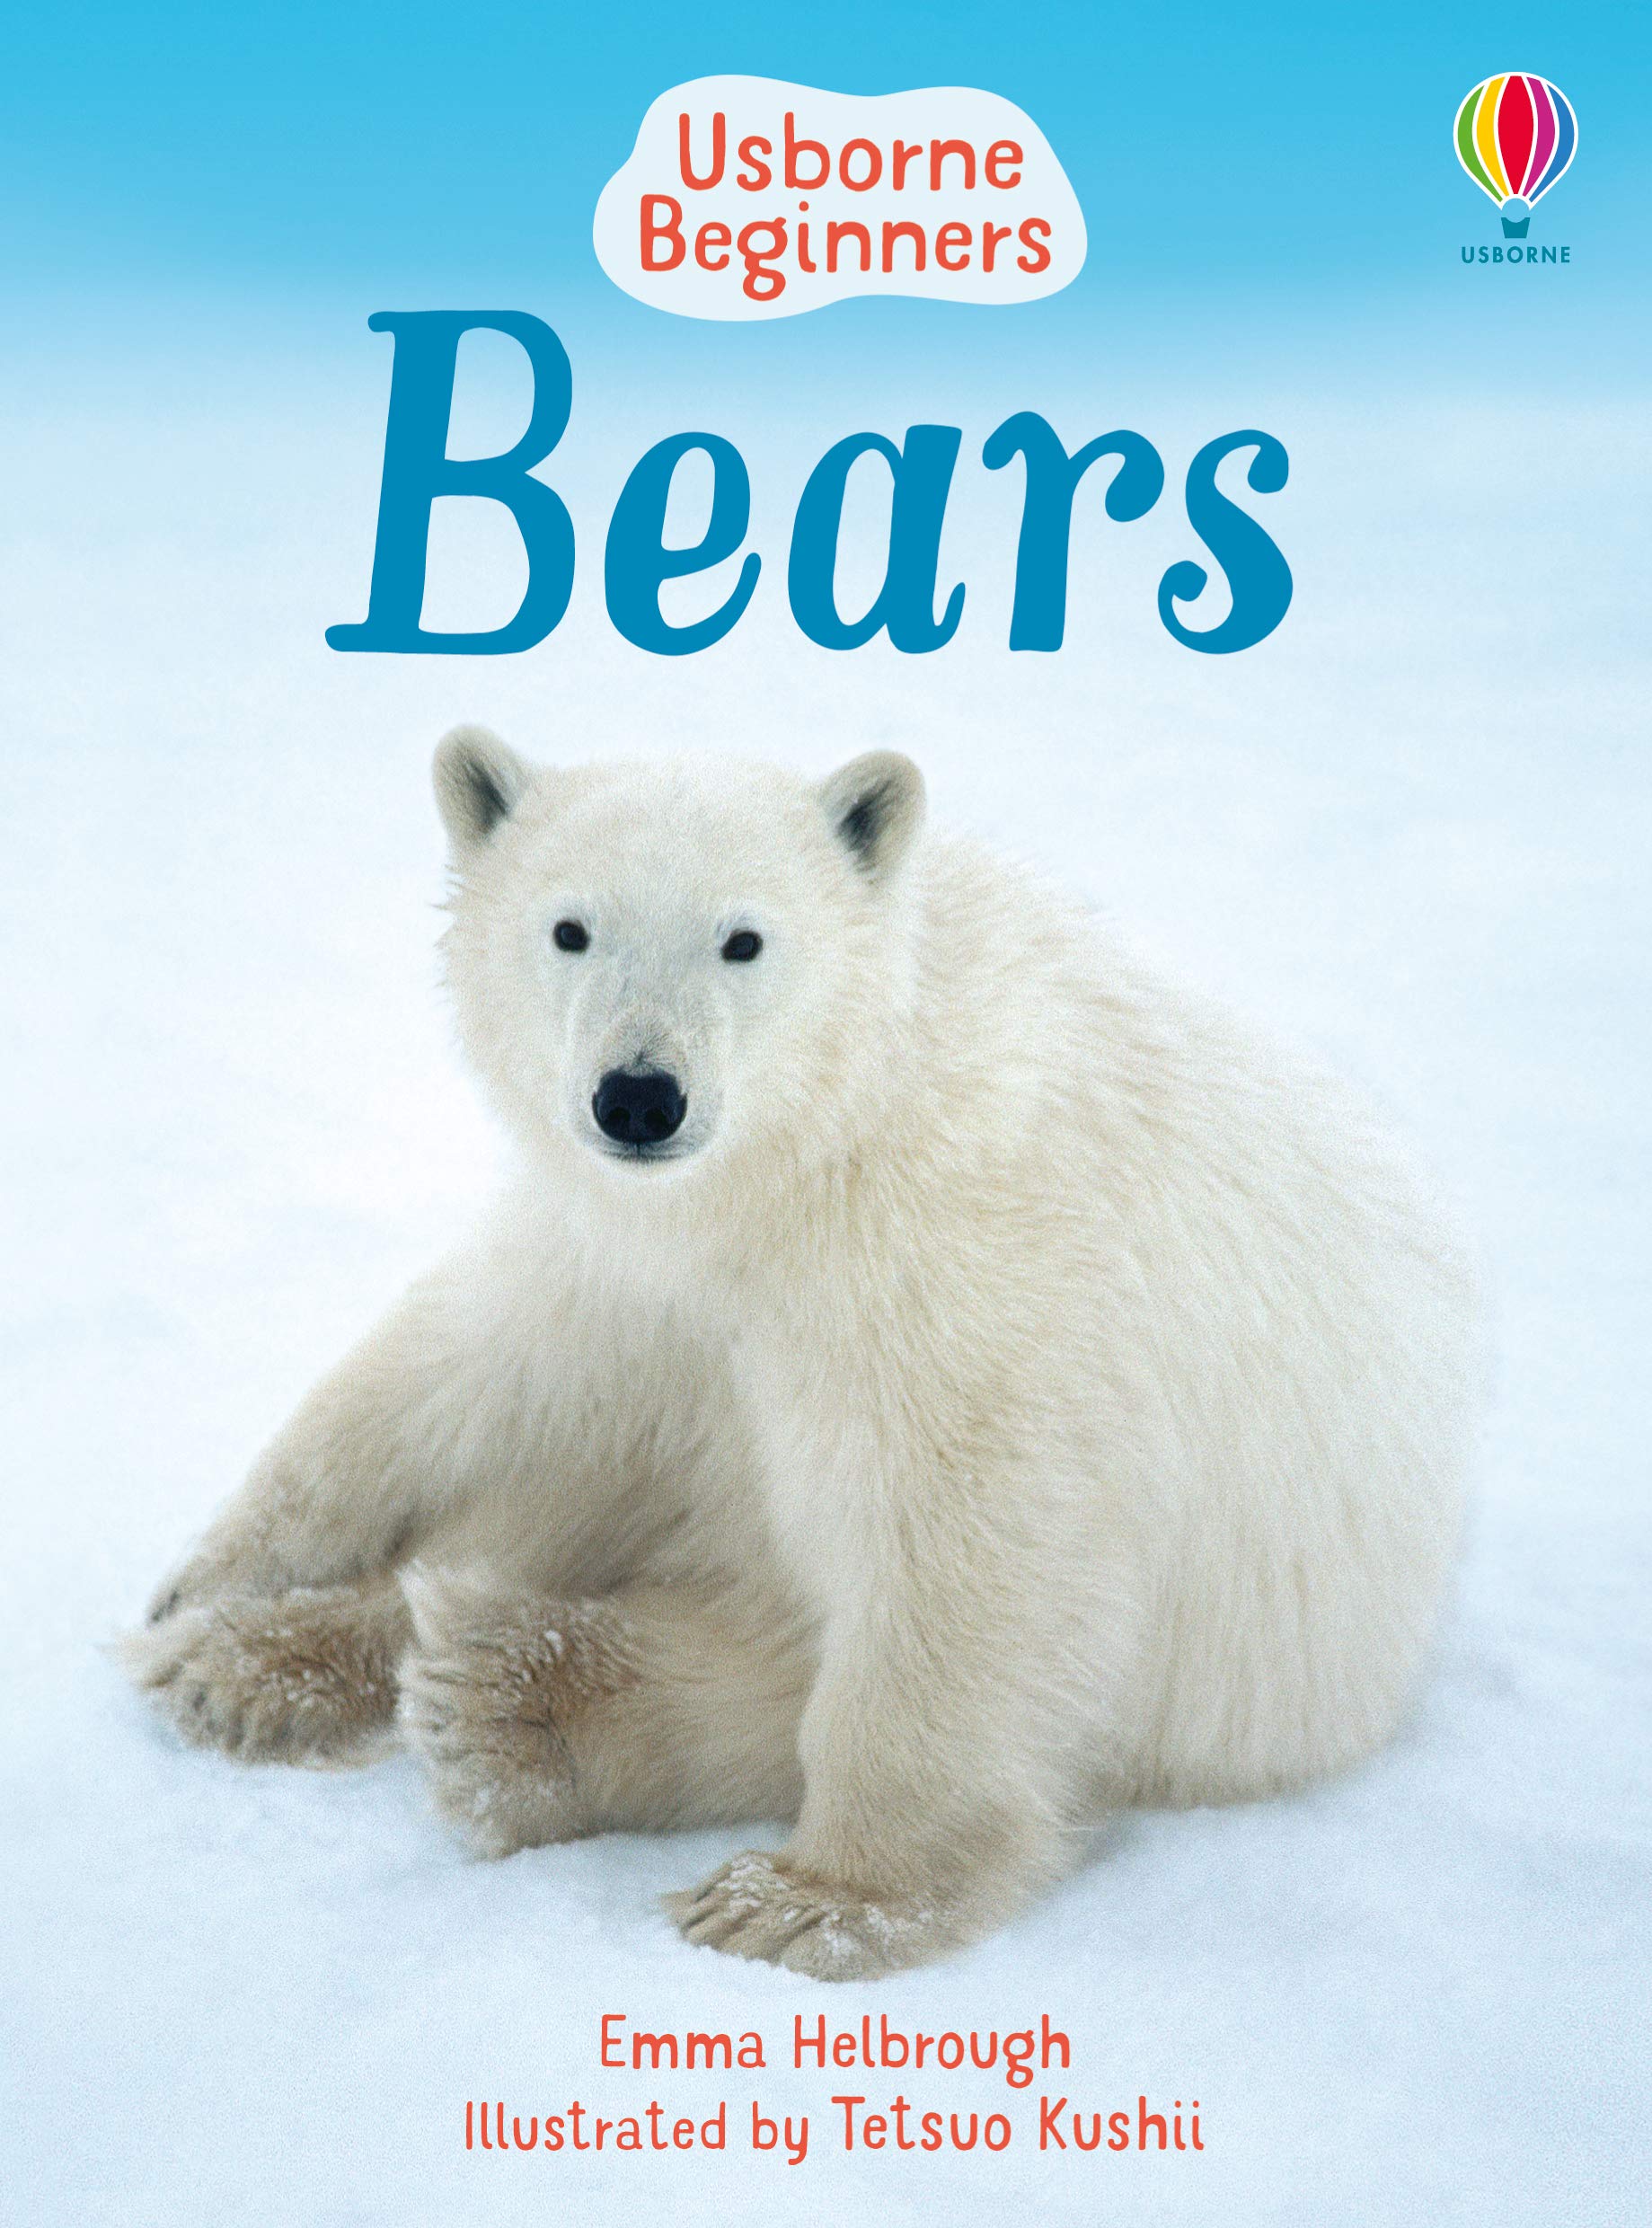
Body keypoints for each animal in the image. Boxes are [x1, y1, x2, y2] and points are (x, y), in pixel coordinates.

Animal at [122, 728, 1479, 1979]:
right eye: (569, 928)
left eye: (744, 939)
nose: (639, 1096)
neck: (812, 1152)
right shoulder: (635, 1269)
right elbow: (491, 1360)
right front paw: (213, 1581)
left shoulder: (952, 1271)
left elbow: (965, 1543)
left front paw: (811, 1901)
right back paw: (264, 1664)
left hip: (1247, 1676)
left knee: (772, 1663)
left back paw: (500, 1702)